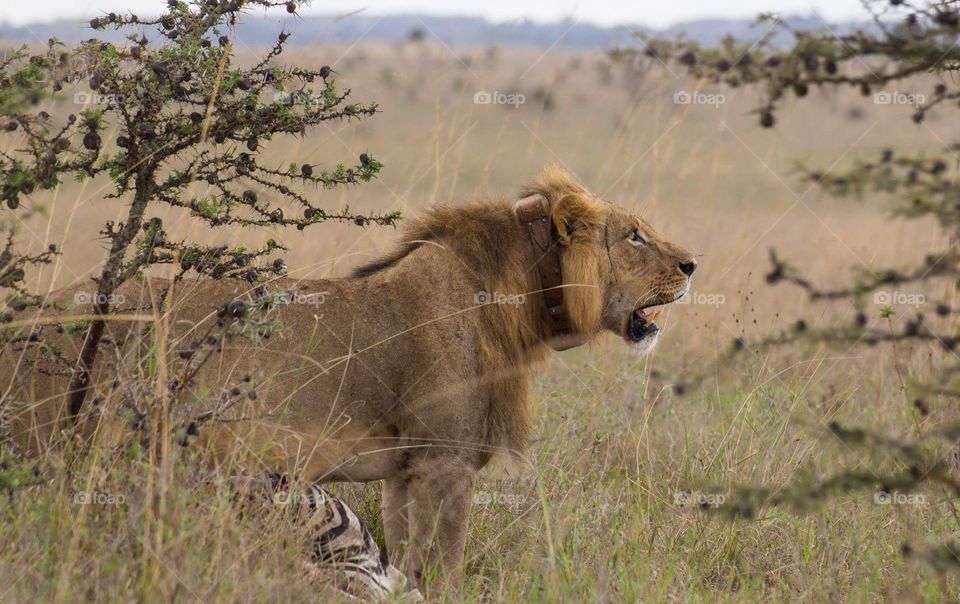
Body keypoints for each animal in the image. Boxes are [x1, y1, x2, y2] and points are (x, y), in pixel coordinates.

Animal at [1, 166, 695, 589]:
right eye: (634, 236)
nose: (693, 263)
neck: (518, 303)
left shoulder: (405, 471)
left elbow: (406, 558)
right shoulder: (443, 462)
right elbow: (444, 566)